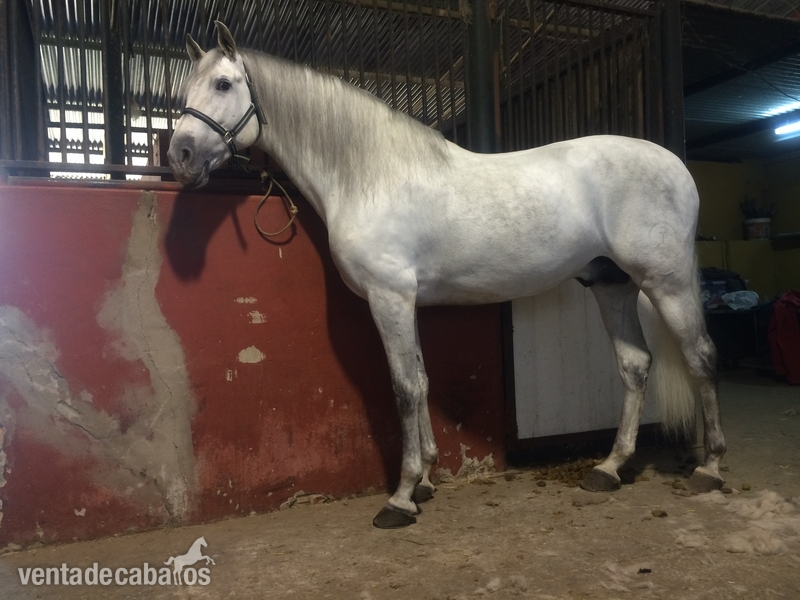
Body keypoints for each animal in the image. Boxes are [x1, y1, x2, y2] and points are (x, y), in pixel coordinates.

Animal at [168, 21, 726, 529]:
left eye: (224, 84)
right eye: (185, 91)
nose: (179, 156)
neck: (370, 175)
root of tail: (675, 163)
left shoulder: (389, 296)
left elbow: (403, 387)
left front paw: (400, 498)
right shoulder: (404, 300)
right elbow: (421, 379)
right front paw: (426, 481)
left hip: (667, 282)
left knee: (700, 356)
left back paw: (710, 469)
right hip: (613, 285)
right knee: (634, 365)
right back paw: (609, 468)